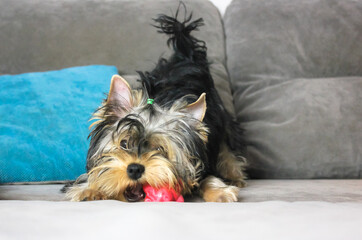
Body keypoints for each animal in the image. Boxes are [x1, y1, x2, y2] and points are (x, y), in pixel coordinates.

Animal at [66, 7, 246, 202]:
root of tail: (186, 55)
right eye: (124, 143)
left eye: (160, 149)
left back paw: (235, 176)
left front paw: (220, 192)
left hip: (221, 116)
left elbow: (208, 177)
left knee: (227, 145)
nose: (134, 169)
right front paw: (89, 190)